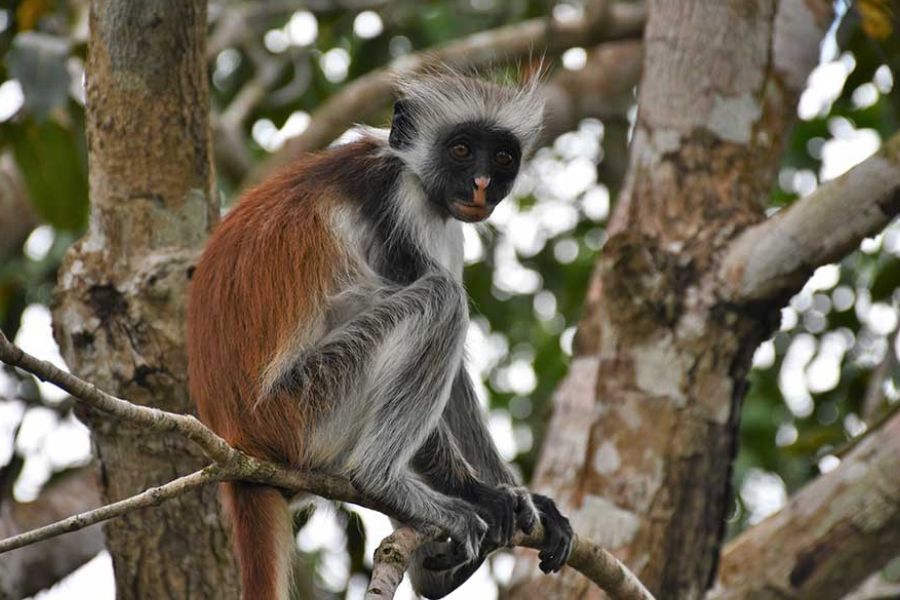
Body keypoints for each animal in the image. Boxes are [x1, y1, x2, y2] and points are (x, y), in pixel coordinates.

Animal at [187, 72, 573, 600]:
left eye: (502, 157)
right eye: (460, 149)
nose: (480, 184)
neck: (408, 172)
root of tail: (235, 435)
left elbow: (455, 381)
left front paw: (520, 496)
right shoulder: (398, 207)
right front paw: (482, 493)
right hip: (305, 407)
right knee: (441, 300)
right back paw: (381, 481)